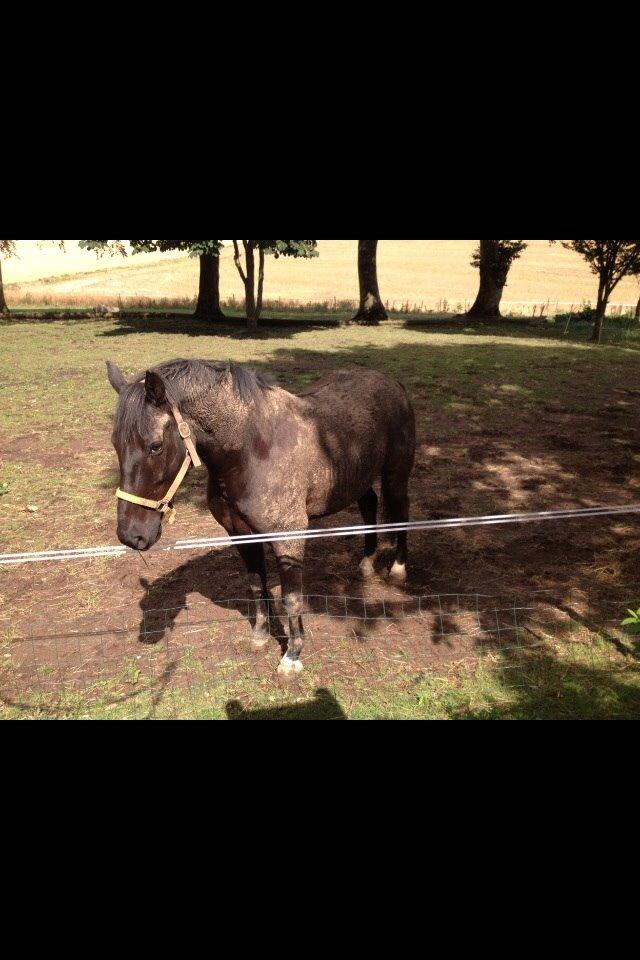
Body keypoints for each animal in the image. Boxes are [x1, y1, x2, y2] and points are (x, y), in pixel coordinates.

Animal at [106, 360, 416, 676]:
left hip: (395, 475)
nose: (131, 535)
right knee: (369, 505)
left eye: (155, 445)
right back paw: (366, 563)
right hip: (357, 480)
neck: (254, 452)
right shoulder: (242, 535)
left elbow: (291, 598)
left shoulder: (289, 537)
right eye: (116, 444)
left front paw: (292, 656)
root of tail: (392, 383)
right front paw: (260, 636)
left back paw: (398, 568)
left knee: (402, 511)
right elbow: (257, 586)